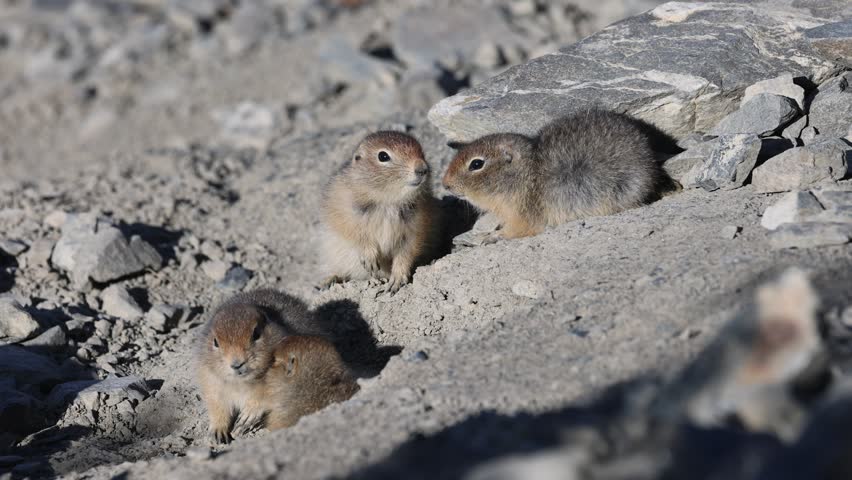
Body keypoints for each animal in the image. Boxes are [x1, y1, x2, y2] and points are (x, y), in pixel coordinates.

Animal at [195, 289, 329, 443]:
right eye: (215, 342)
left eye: (256, 333)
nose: (237, 364)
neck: (243, 382)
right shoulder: (210, 380)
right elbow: (217, 406)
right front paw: (218, 433)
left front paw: (246, 418)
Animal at [320, 130, 440, 293]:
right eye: (383, 156)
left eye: (422, 152)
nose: (422, 169)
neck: (388, 201)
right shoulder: (344, 213)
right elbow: (356, 234)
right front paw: (370, 258)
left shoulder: (415, 229)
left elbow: (405, 254)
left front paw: (396, 281)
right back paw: (330, 280)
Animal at [442, 109, 670, 241]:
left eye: (476, 164)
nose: (445, 184)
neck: (526, 175)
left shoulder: (523, 214)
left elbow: (518, 230)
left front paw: (494, 236)